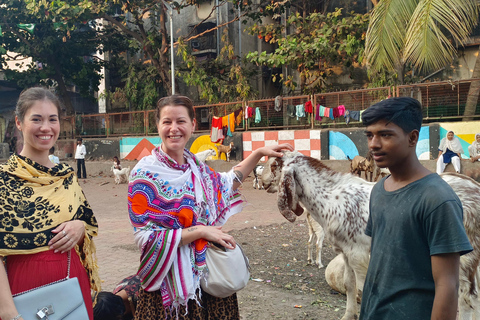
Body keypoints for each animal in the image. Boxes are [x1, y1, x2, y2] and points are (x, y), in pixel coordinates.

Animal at [260, 152, 480, 320]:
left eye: (275, 165)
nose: (262, 182)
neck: (331, 197)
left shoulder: (359, 254)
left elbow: (364, 289)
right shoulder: (346, 252)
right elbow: (349, 284)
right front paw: (348, 315)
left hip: (462, 256)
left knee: (465, 297)